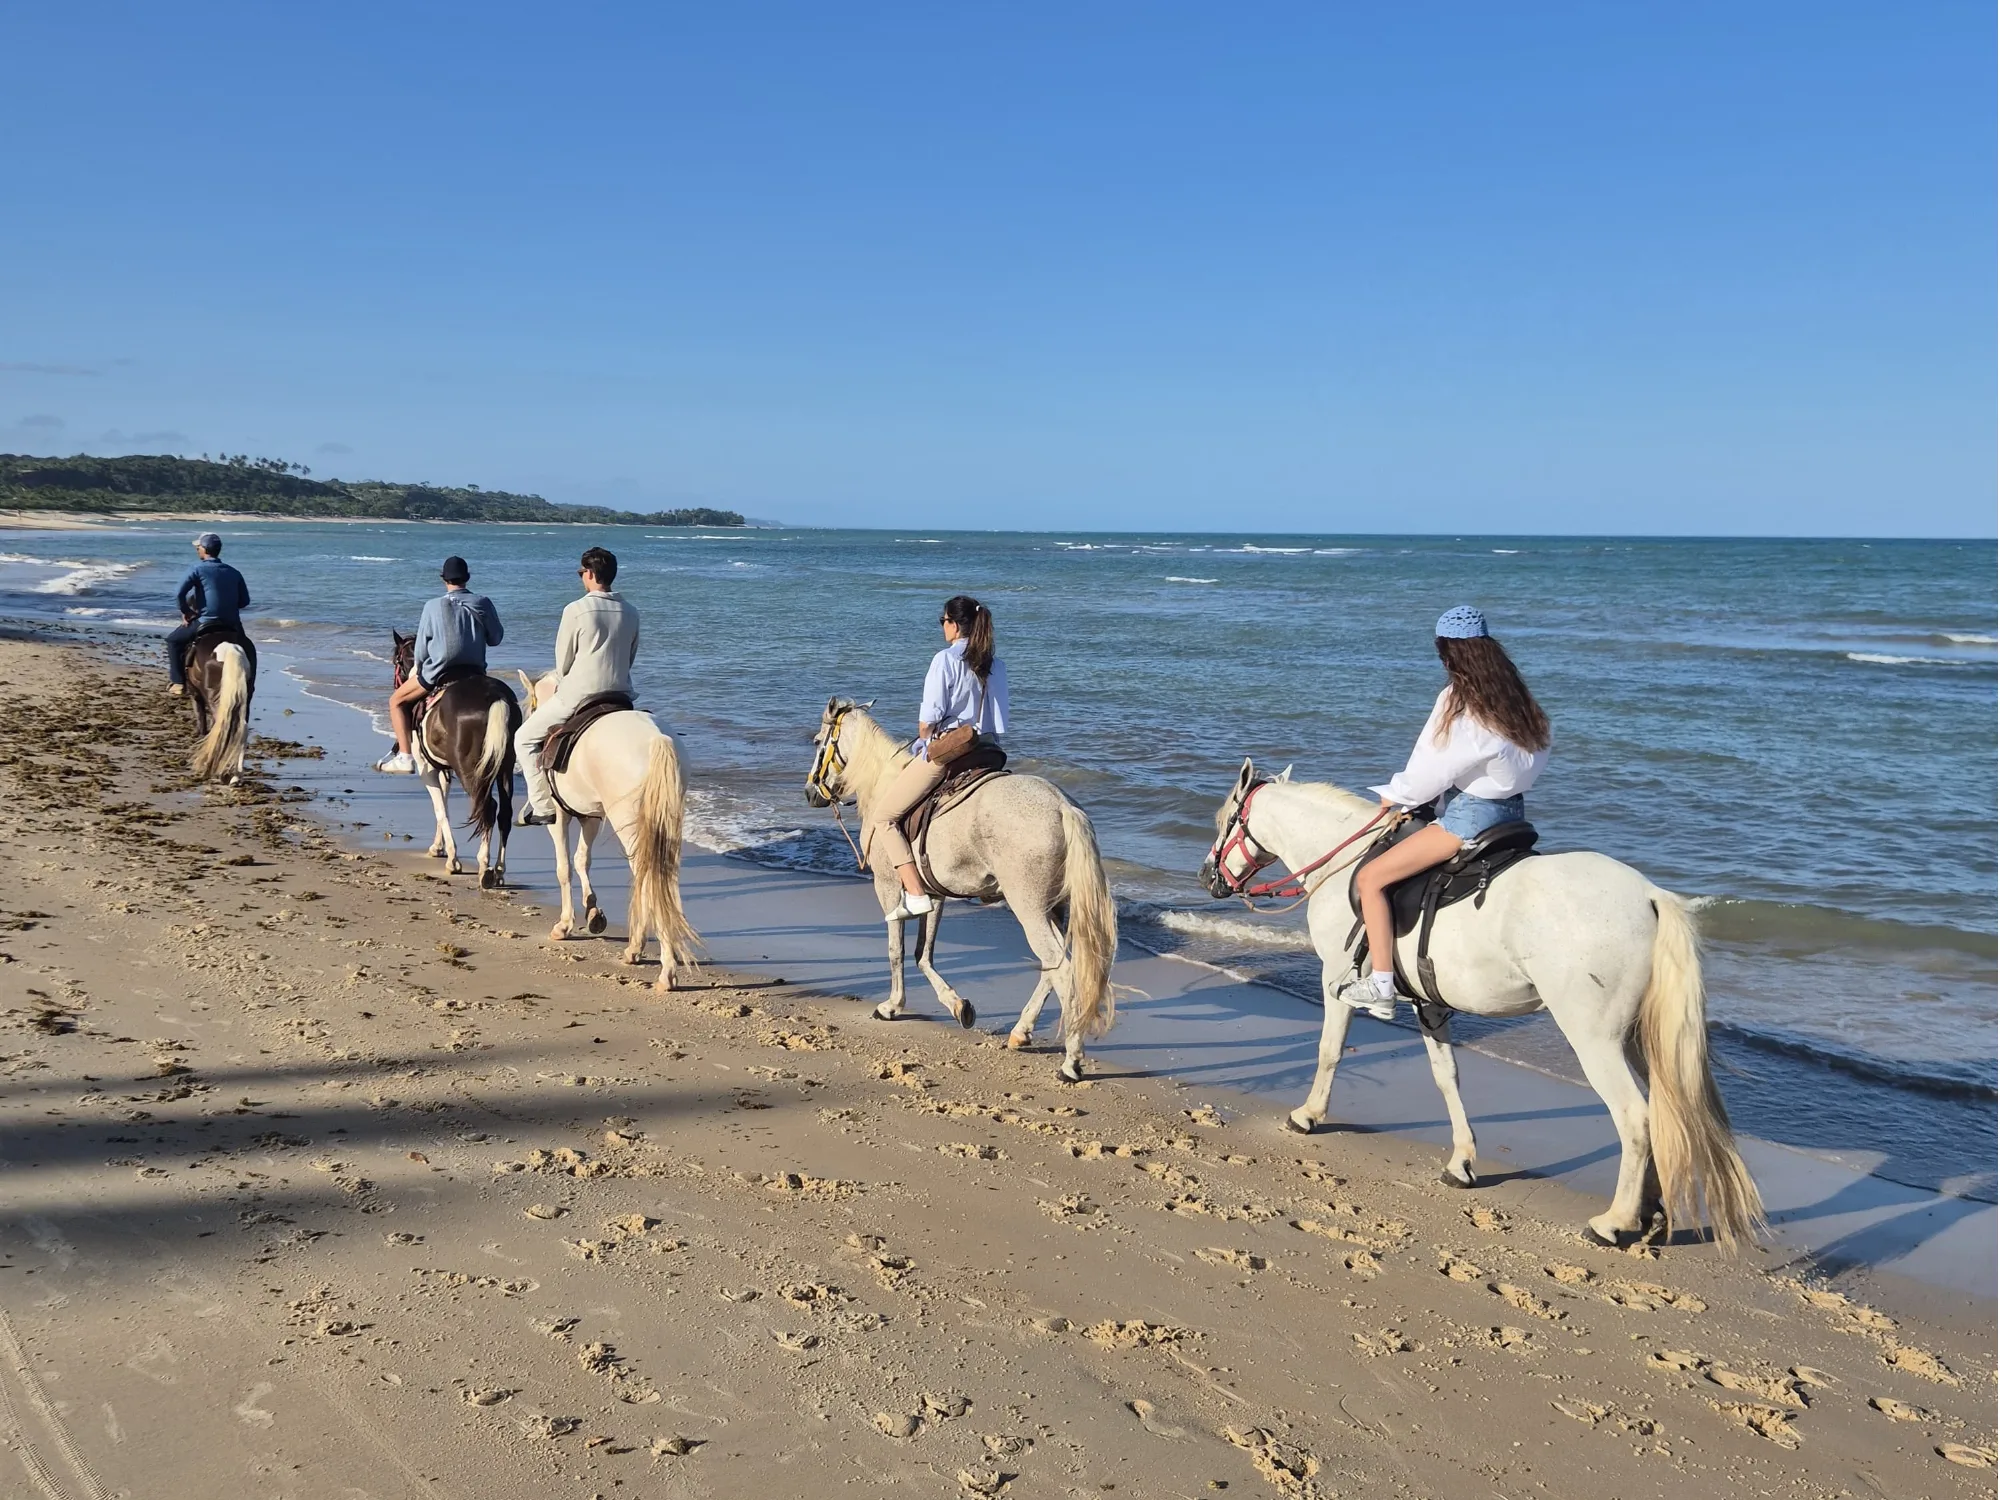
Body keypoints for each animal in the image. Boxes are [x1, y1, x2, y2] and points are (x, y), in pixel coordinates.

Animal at [185, 629, 254, 782]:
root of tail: (231, 648)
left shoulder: (195, 695)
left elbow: (202, 723)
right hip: (244, 699)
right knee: (242, 729)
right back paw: (236, 775)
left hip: (214, 698)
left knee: (221, 726)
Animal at [389, 633, 520, 888]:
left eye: (396, 662)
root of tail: (496, 698)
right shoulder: (444, 768)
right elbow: (445, 803)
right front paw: (438, 847)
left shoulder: (427, 768)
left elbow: (440, 808)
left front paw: (452, 859)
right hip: (505, 767)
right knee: (504, 813)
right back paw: (499, 870)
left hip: (470, 770)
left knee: (488, 808)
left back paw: (484, 867)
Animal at [515, 670, 696, 991]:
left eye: (531, 707)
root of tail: (657, 740)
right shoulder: (591, 817)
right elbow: (581, 860)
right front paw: (593, 911)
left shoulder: (559, 816)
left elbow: (564, 867)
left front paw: (565, 924)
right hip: (665, 825)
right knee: (662, 877)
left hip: (629, 824)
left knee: (645, 877)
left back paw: (656, 964)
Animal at [806, 698, 1118, 1083]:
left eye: (818, 742)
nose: (809, 793)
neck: (884, 783)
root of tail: (1061, 806)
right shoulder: (934, 895)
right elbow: (923, 954)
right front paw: (957, 1006)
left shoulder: (888, 887)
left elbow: (897, 950)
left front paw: (893, 1006)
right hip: (1054, 910)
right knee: (1053, 965)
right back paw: (1021, 1032)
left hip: (1029, 909)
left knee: (1060, 970)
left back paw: (1071, 1061)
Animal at [1201, 759, 1765, 1253]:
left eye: (1224, 820)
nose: (1209, 876)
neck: (1345, 867)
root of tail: (1648, 895)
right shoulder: (1429, 1004)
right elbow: (1446, 1076)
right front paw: (1462, 1162)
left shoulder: (1334, 977)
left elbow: (1329, 1050)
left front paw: (1309, 1115)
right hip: (1639, 1039)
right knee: (1665, 1115)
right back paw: (1648, 1215)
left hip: (1594, 1038)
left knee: (1635, 1118)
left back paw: (1614, 1222)